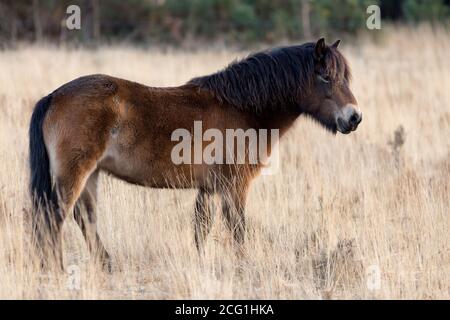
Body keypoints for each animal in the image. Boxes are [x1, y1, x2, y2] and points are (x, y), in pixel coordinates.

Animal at [29, 38, 362, 272]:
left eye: (345, 77)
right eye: (325, 77)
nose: (354, 118)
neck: (242, 108)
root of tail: (54, 96)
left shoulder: (209, 189)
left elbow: (202, 230)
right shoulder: (235, 186)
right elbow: (237, 229)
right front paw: (243, 265)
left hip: (92, 174)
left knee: (84, 218)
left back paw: (104, 265)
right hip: (76, 174)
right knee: (54, 218)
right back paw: (57, 271)